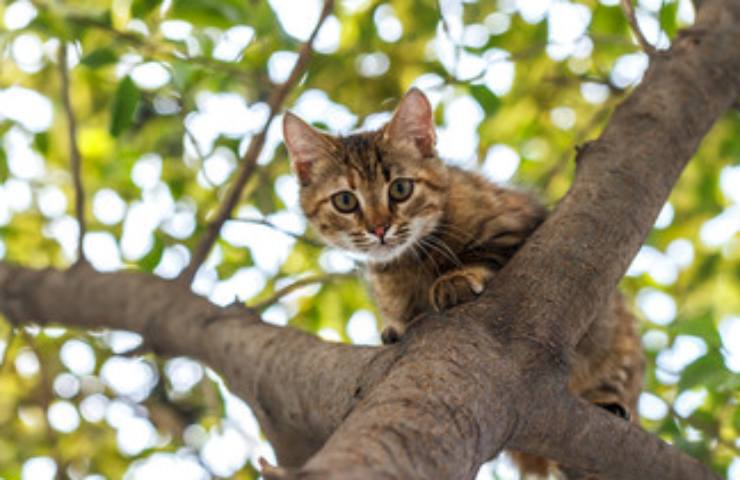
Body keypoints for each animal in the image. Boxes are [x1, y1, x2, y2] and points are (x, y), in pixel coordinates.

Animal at [282, 88, 640, 478]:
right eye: (345, 201)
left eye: (400, 189)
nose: (379, 228)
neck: (411, 262)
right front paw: (396, 325)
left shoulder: (517, 224)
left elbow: (484, 253)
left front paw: (455, 278)